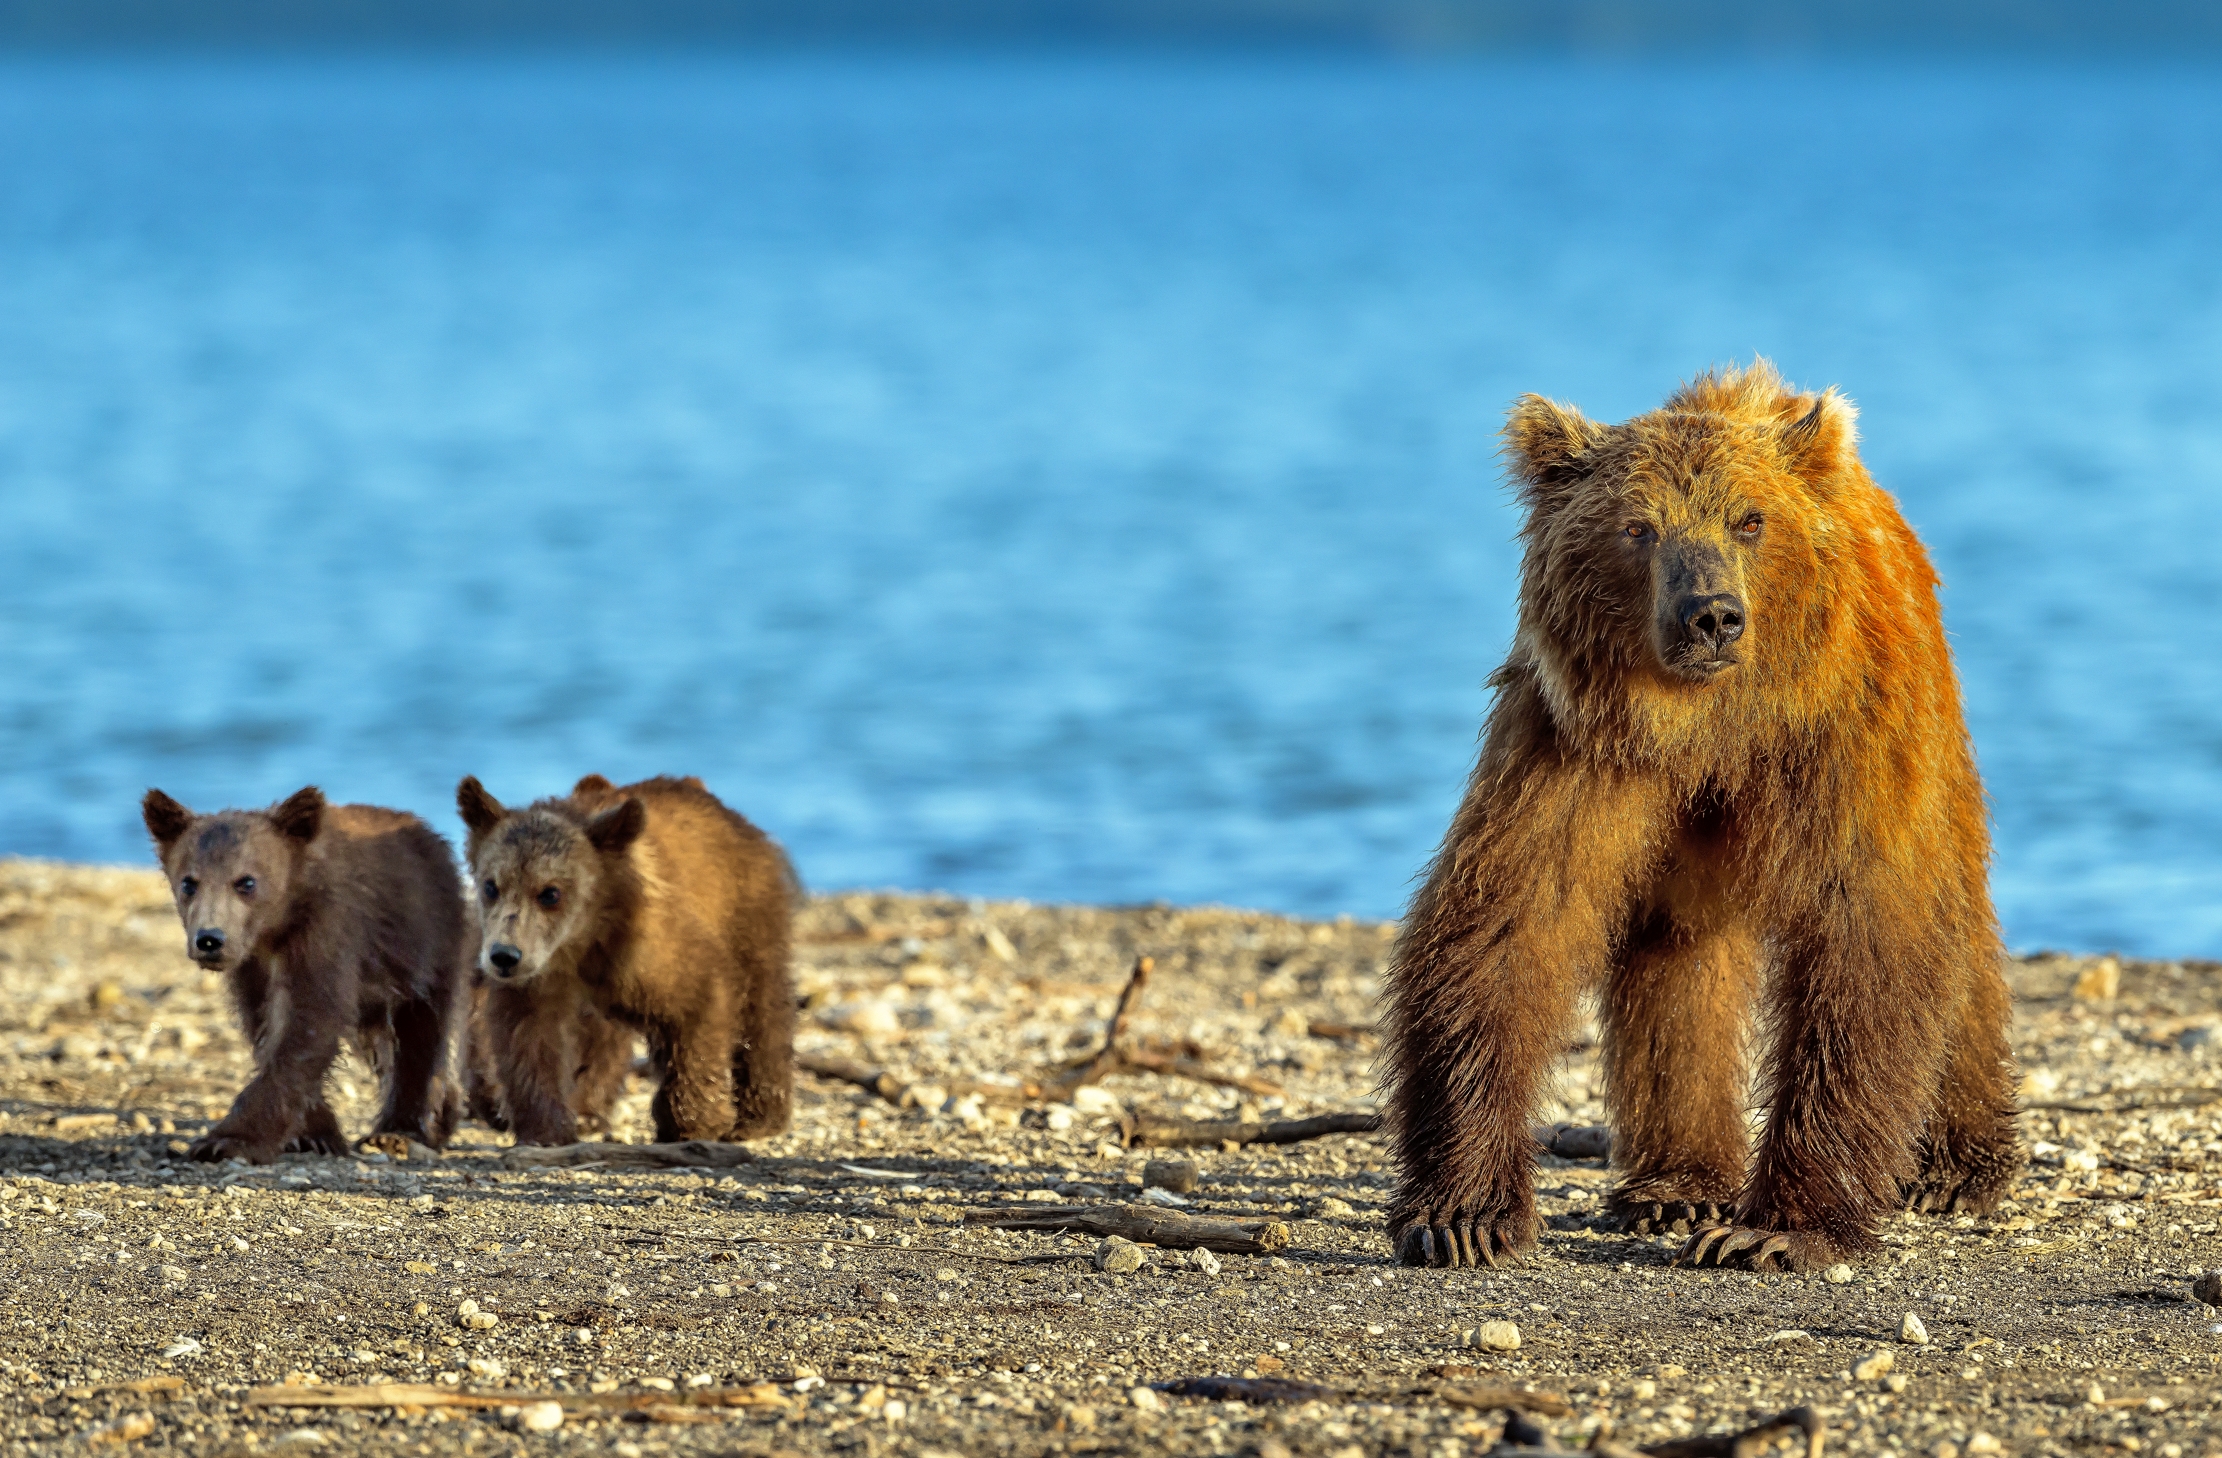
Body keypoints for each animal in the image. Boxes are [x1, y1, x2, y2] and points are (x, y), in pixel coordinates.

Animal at [141, 786, 472, 1163]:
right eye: (189, 882)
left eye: (246, 881)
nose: (210, 939)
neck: (278, 925)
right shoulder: (252, 965)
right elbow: (266, 1025)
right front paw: (314, 1135)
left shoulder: (329, 932)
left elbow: (310, 1019)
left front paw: (225, 1140)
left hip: (427, 943)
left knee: (422, 1032)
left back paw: (401, 1130)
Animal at [456, 772, 797, 1146]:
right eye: (491, 885)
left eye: (550, 892)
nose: (504, 956)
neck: (585, 936)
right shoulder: (539, 979)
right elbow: (530, 1040)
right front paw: (546, 1129)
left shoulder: (653, 953)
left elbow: (699, 1007)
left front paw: (694, 1122)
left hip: (747, 911)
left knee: (763, 1005)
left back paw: (759, 1117)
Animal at [1382, 361, 2023, 1273]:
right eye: (1638, 527)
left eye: (1750, 520)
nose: (1712, 614)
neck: (1712, 724)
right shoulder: (1579, 741)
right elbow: (1511, 914)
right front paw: (1463, 1215)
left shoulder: (1842, 735)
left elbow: (1867, 928)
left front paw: (1775, 1229)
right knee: (1678, 957)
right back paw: (1678, 1186)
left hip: (1932, 722)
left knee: (1957, 923)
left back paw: (1954, 1168)